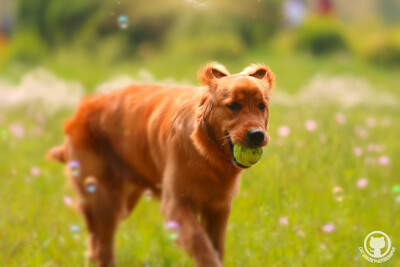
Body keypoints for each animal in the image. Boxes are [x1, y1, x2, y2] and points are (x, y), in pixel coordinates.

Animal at [45, 62, 274, 267]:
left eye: (261, 106)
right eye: (233, 105)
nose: (257, 135)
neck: (206, 154)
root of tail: (79, 112)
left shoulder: (218, 207)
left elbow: (215, 246)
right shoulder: (176, 203)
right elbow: (199, 242)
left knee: (95, 245)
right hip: (102, 198)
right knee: (103, 247)